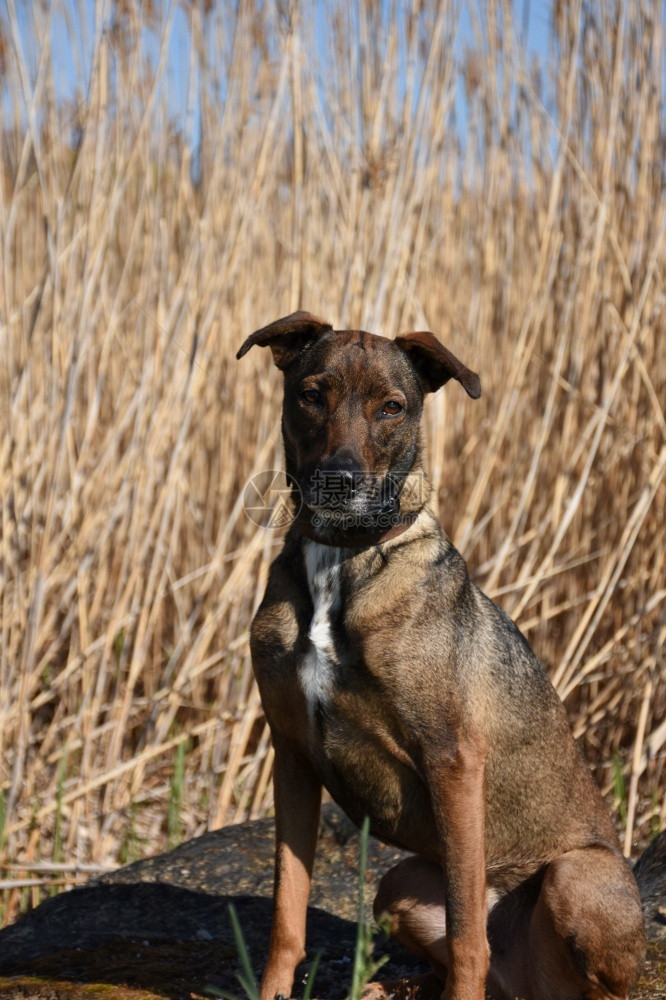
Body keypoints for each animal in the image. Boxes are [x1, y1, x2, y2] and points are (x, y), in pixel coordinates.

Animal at [235, 312, 644, 1000]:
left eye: (391, 407)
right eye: (311, 395)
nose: (340, 481)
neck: (340, 560)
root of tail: (525, 986)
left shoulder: (452, 760)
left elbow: (467, 934)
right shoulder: (291, 754)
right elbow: (286, 918)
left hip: (576, 878)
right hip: (398, 884)